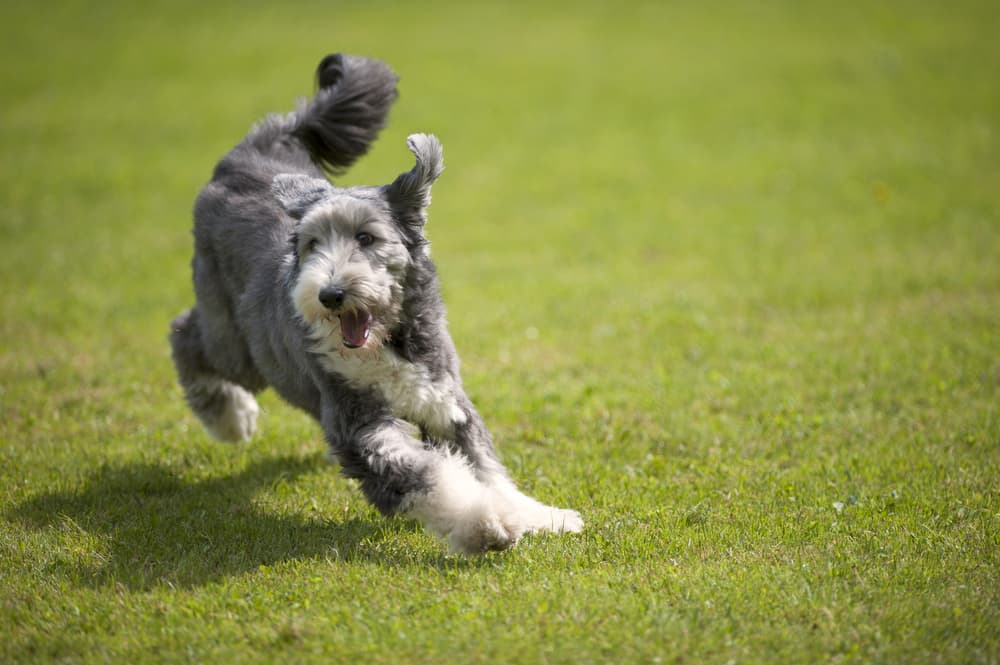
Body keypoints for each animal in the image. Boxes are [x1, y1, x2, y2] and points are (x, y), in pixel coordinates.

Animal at [169, 52, 584, 552]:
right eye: (312, 244)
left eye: (366, 238)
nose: (330, 294)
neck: (387, 343)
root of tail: (258, 146)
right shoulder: (362, 427)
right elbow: (429, 478)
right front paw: (487, 523)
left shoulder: (444, 403)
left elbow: (486, 468)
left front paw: (542, 516)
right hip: (239, 343)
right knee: (186, 334)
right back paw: (230, 417)